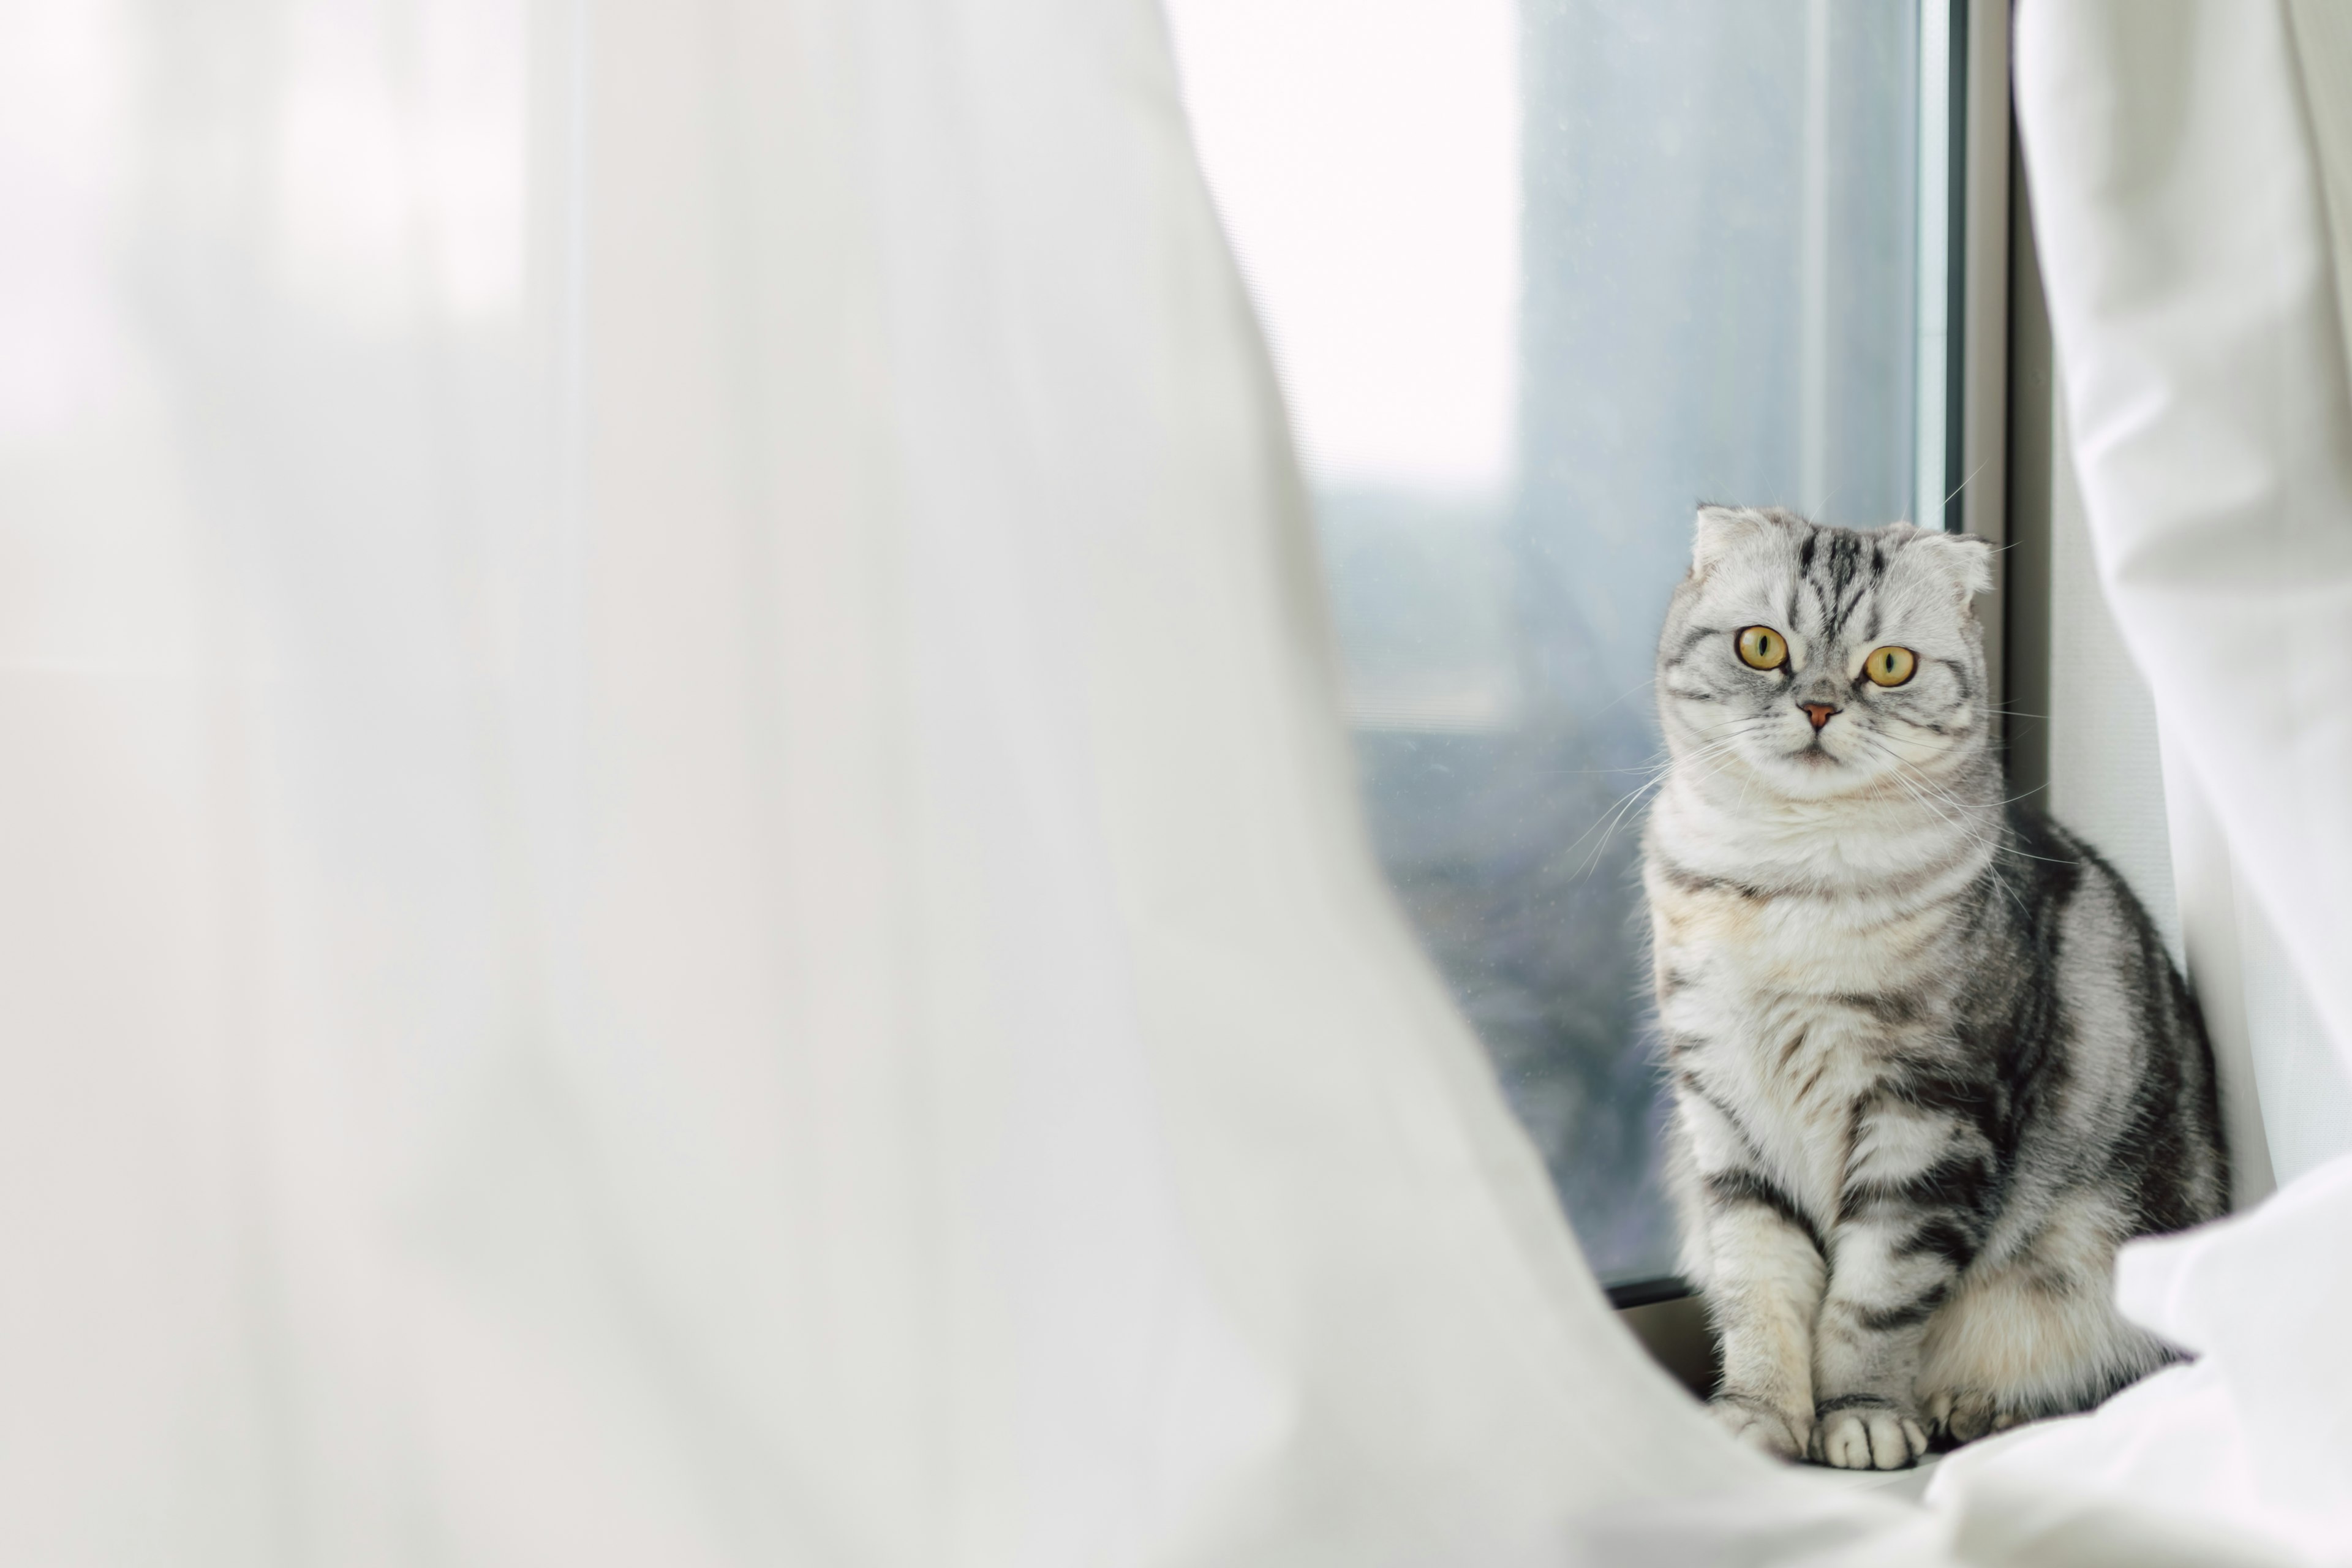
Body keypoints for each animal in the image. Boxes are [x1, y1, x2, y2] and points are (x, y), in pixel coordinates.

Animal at [1637, 505, 2220, 1476]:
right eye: (1762, 646)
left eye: (1889, 665)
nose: (1820, 705)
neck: (1788, 883)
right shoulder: (1724, 1111)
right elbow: (1759, 1281)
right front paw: (1759, 1414)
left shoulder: (1932, 1115)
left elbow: (1875, 1298)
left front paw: (1862, 1417)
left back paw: (1974, 1408)